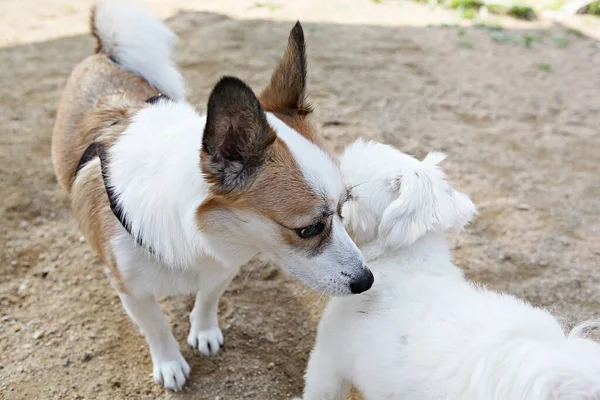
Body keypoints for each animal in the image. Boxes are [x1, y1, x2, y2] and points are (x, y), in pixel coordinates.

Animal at [52, 0, 370, 392]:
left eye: (343, 210)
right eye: (308, 230)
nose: (367, 281)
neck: (200, 235)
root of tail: (104, 52)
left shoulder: (222, 266)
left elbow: (207, 299)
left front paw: (203, 331)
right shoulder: (132, 291)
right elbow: (157, 327)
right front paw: (170, 362)